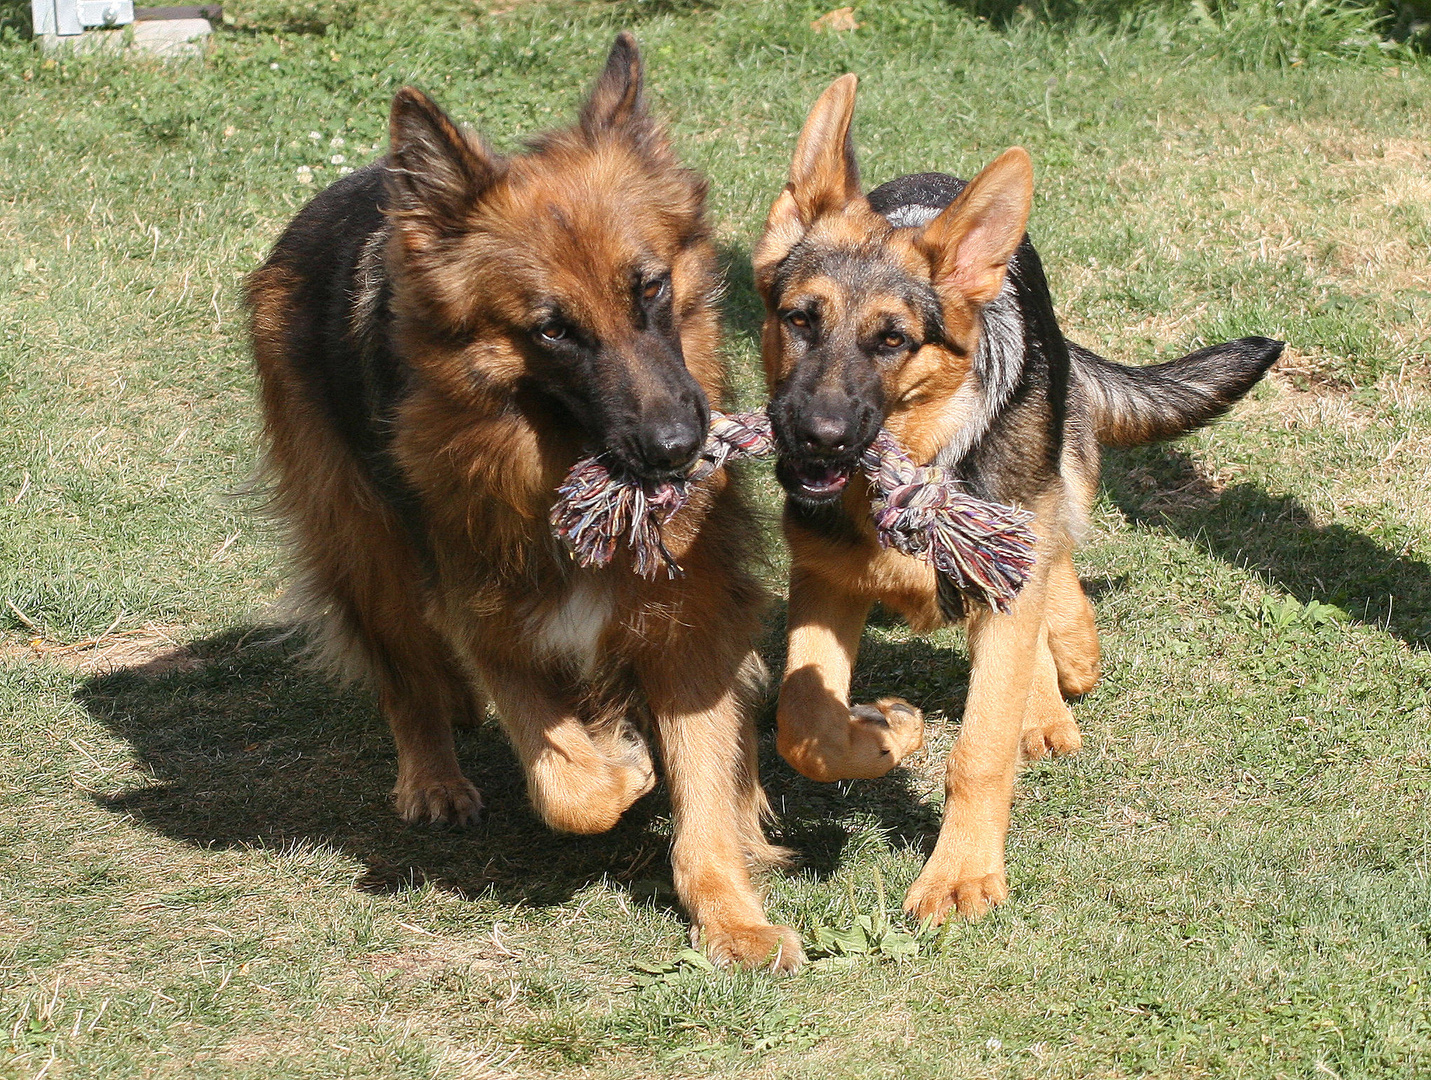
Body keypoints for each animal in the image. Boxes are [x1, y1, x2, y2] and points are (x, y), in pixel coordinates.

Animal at [247, 38, 807, 978]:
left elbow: (699, 782)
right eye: (552, 330)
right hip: (370, 550)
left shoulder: (686, 618)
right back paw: (433, 776)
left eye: (649, 288)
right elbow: (569, 785)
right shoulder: (493, 621)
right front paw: (623, 765)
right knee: (403, 674)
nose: (676, 448)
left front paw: (730, 914)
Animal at [755, 76, 1282, 926]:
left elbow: (979, 748)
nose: (817, 439)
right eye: (799, 319)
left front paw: (960, 872)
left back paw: (1064, 659)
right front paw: (886, 735)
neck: (920, 462)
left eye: (891, 340)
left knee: (1051, 547)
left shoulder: (1003, 565)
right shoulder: (826, 581)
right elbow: (801, 726)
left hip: (1041, 476)